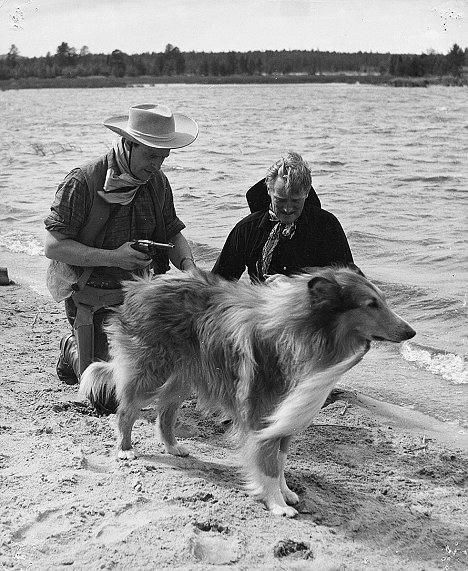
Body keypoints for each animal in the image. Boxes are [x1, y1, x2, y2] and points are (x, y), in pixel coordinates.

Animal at [78, 268, 414, 520]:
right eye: (370, 304)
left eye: (383, 300)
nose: (411, 333)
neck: (299, 335)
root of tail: (140, 285)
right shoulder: (260, 414)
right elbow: (267, 463)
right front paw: (277, 504)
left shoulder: (285, 416)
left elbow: (279, 461)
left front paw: (286, 492)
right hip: (150, 371)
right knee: (127, 410)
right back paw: (125, 449)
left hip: (185, 375)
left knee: (165, 412)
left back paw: (174, 447)